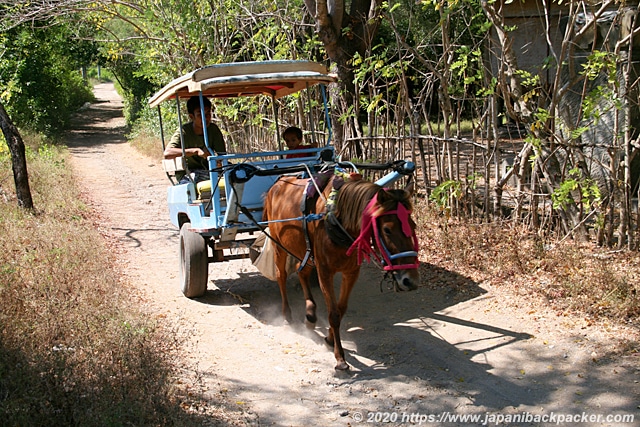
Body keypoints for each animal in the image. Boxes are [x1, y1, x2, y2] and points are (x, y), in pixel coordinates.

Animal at [262, 172, 422, 370]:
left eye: (413, 226)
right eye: (387, 229)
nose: (411, 280)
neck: (338, 222)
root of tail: (278, 182)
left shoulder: (351, 272)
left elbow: (341, 308)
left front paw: (330, 338)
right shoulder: (325, 271)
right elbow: (333, 313)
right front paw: (340, 357)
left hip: (303, 249)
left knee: (302, 272)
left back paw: (310, 314)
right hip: (279, 245)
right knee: (281, 276)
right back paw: (287, 314)